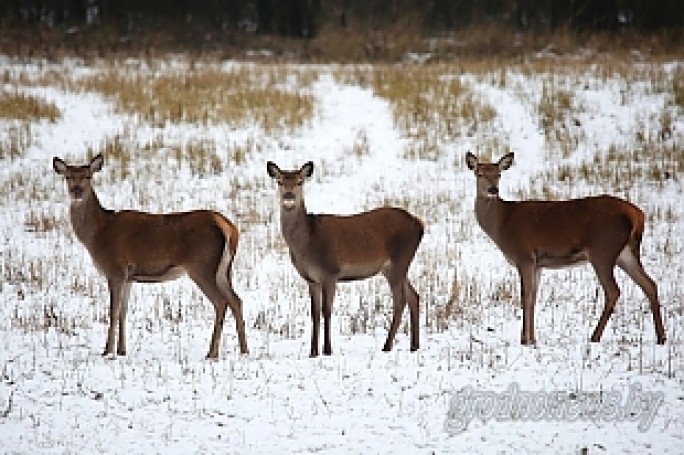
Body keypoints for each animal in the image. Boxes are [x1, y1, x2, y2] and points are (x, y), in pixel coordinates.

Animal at [52, 153, 248, 360]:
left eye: (88, 176)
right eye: (67, 177)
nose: (77, 192)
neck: (98, 234)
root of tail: (229, 227)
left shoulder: (115, 270)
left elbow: (113, 312)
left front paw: (107, 351)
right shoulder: (129, 276)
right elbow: (123, 312)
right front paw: (122, 350)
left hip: (202, 266)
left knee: (221, 302)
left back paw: (212, 353)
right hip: (223, 269)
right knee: (236, 300)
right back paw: (244, 350)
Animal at [266, 162, 422, 358]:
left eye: (300, 181)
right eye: (279, 181)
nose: (288, 196)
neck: (307, 243)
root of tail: (420, 223)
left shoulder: (331, 272)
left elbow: (326, 311)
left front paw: (327, 350)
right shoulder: (311, 279)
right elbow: (314, 313)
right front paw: (312, 352)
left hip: (399, 260)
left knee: (400, 301)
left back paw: (387, 346)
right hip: (393, 268)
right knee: (414, 296)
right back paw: (414, 346)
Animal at [468, 151, 664, 348]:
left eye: (498, 174)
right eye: (480, 174)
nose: (493, 190)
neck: (502, 224)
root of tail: (638, 215)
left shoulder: (524, 256)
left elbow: (525, 296)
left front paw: (524, 339)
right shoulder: (537, 264)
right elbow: (533, 297)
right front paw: (533, 339)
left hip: (603, 249)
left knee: (613, 291)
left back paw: (595, 337)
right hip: (625, 253)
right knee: (650, 284)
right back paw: (661, 337)